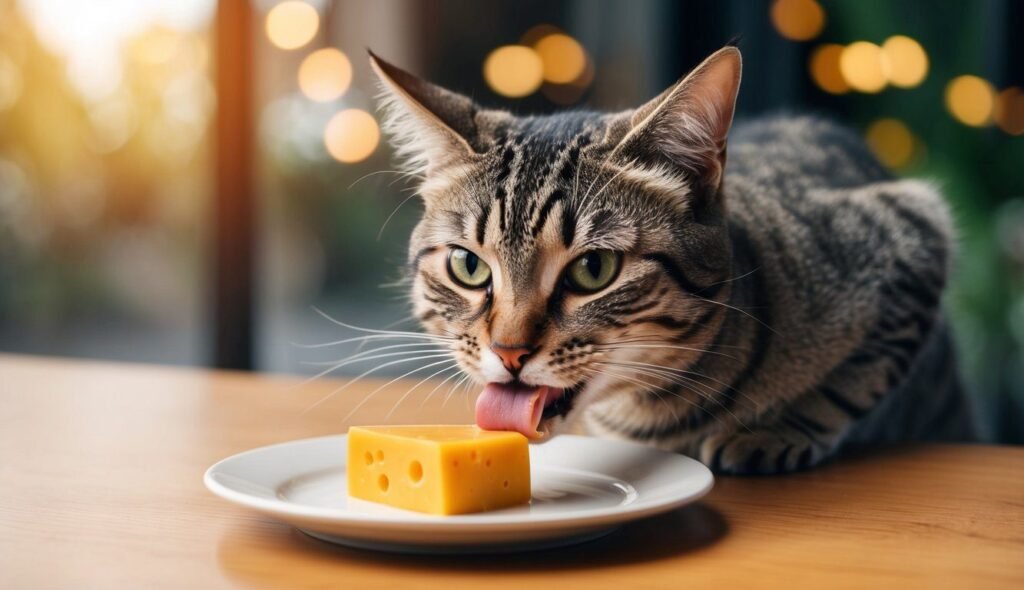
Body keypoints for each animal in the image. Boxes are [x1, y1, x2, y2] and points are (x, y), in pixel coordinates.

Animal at [368, 46, 974, 475]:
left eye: (593, 270)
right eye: (468, 267)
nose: (508, 352)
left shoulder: (915, 227)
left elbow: (854, 380)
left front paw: (771, 432)